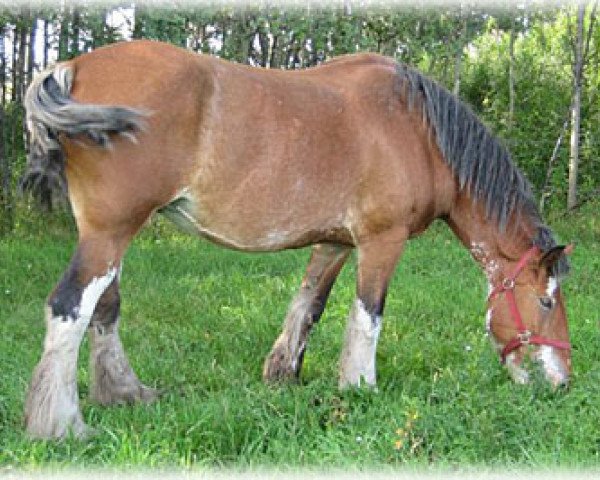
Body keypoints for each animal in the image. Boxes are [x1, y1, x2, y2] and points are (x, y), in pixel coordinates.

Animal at [22, 39, 572, 440]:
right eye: (546, 301)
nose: (561, 383)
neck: (418, 130)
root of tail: (73, 66)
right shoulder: (381, 241)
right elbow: (368, 315)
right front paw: (360, 387)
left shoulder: (334, 243)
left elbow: (309, 304)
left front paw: (284, 374)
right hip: (110, 232)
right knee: (69, 308)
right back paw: (61, 425)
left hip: (109, 235)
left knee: (104, 307)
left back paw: (124, 395)